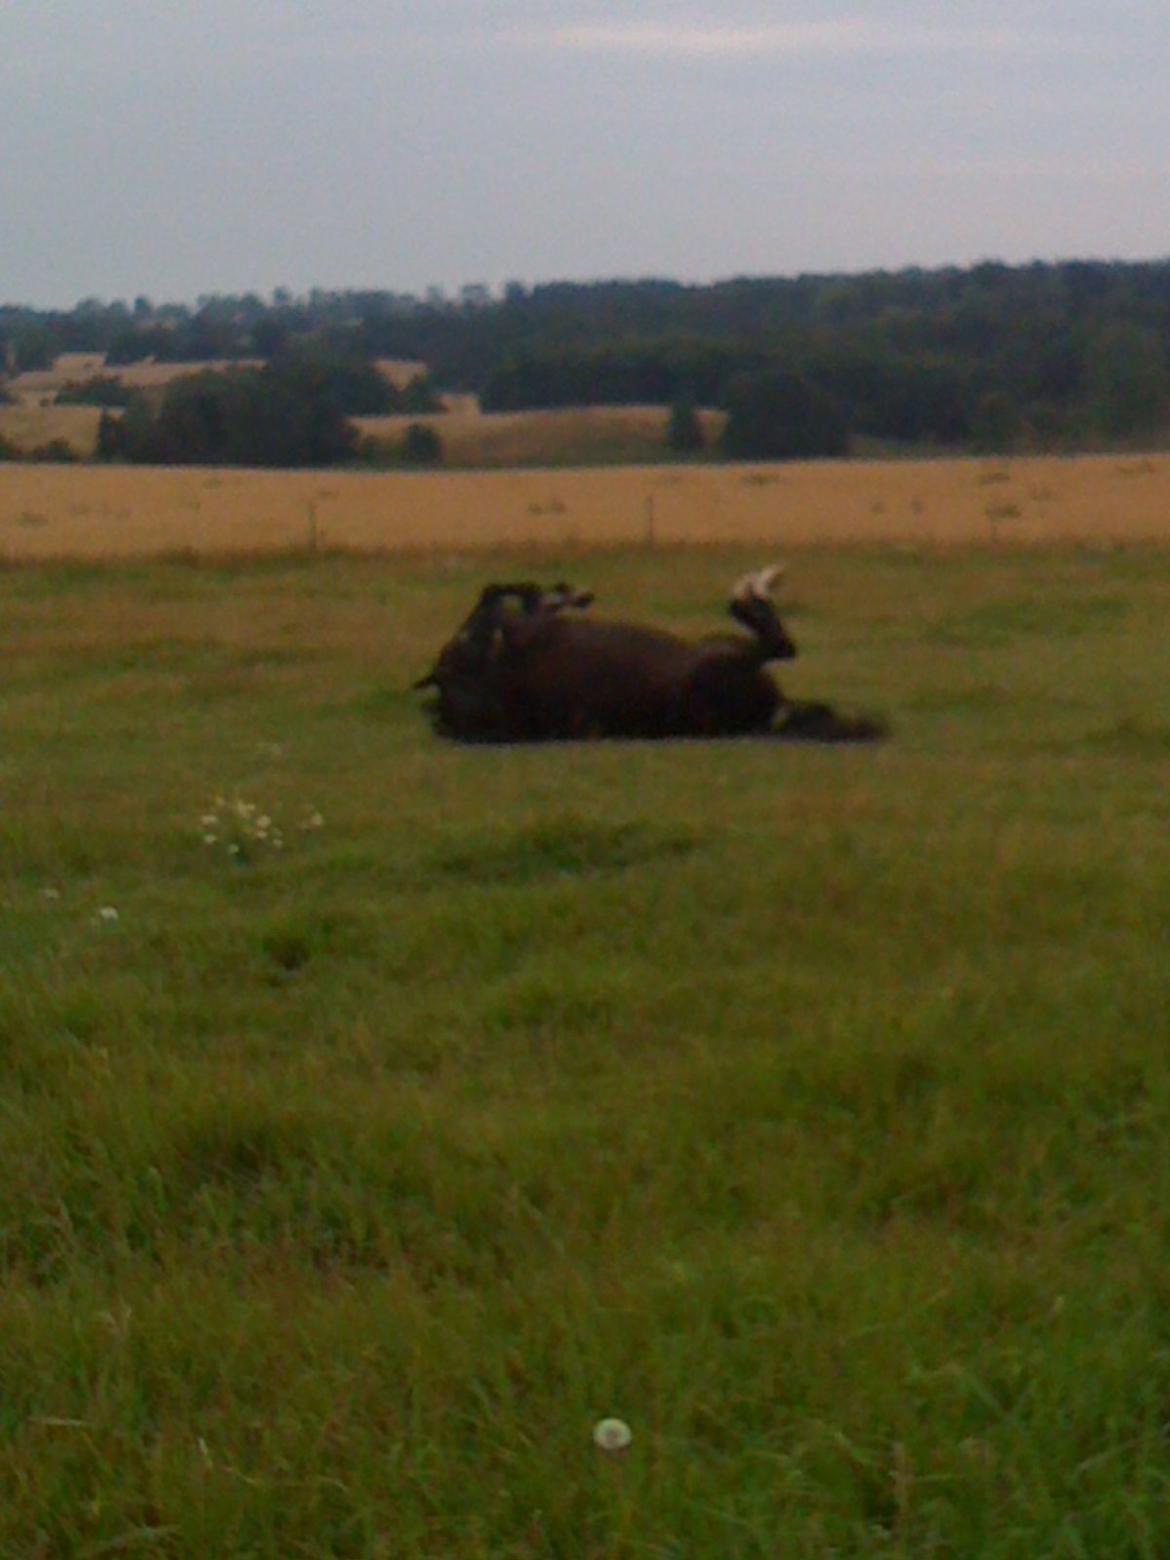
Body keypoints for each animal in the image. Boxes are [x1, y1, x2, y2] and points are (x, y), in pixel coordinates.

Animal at [418, 570, 886, 745]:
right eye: (461, 652)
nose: (468, 637)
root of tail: (766, 709)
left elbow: (516, 597)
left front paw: (561, 592)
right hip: (722, 656)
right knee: (778, 645)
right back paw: (754, 585)